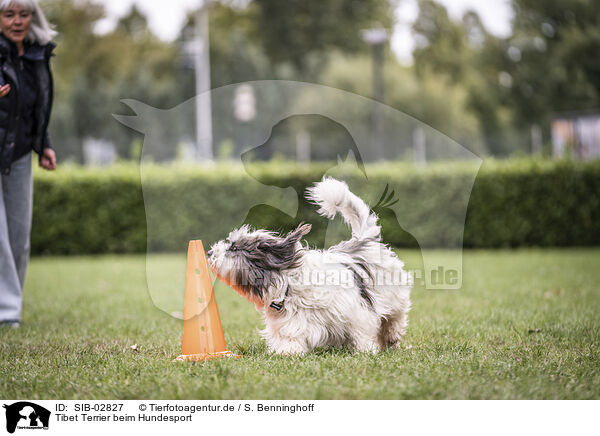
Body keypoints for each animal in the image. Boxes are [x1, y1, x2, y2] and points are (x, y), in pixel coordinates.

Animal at [207, 177, 412, 354]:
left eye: (234, 248)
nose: (209, 253)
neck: (288, 284)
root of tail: (364, 240)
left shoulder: (358, 312)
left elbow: (362, 332)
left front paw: (366, 350)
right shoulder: (289, 322)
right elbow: (289, 338)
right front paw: (287, 352)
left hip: (395, 298)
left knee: (395, 319)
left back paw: (391, 338)